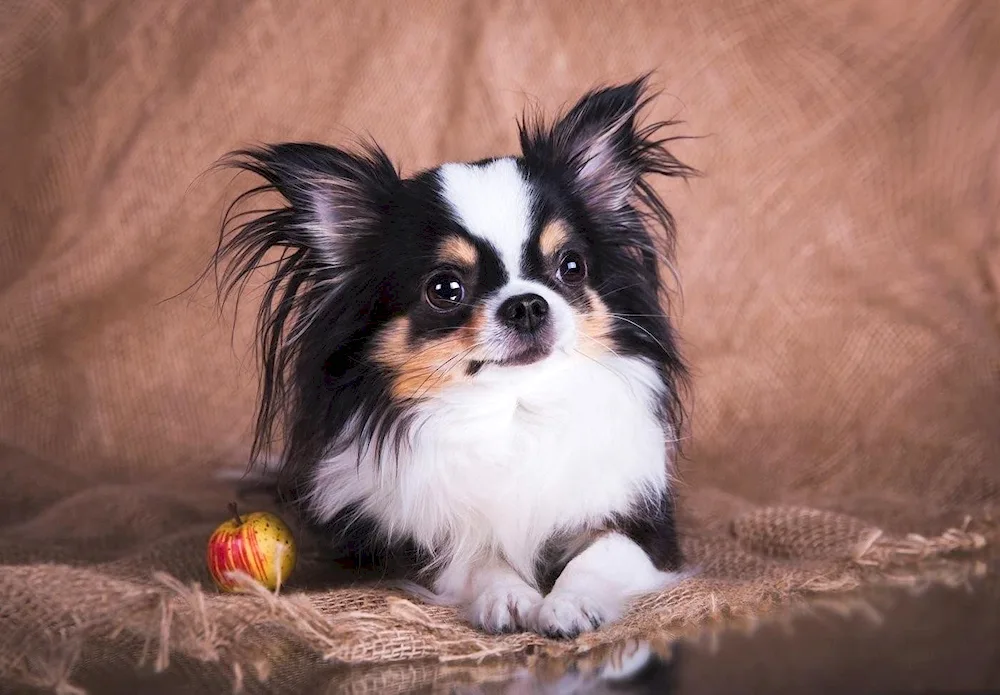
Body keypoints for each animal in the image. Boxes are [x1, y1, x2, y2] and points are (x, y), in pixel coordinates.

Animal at [214, 76, 692, 636]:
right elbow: (477, 557)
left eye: (571, 266)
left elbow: (600, 554)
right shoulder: (414, 543)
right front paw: (509, 597)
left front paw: (570, 602)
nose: (526, 304)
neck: (514, 411)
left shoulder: (645, 527)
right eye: (445, 289)